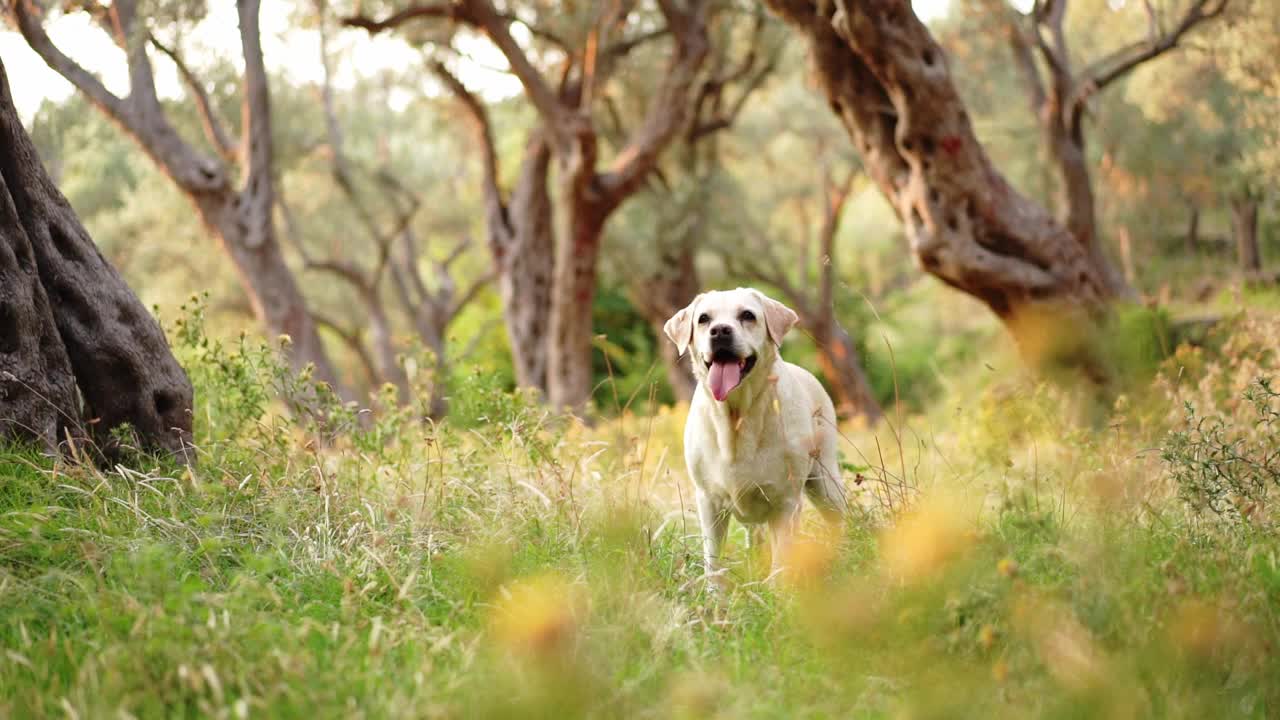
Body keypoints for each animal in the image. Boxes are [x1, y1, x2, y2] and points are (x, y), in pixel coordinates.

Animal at [665, 285, 844, 589]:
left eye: (747, 315)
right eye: (704, 319)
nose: (720, 331)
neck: (737, 416)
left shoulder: (785, 502)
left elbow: (781, 559)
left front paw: (777, 593)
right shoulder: (709, 501)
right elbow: (713, 560)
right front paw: (714, 596)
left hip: (825, 482)